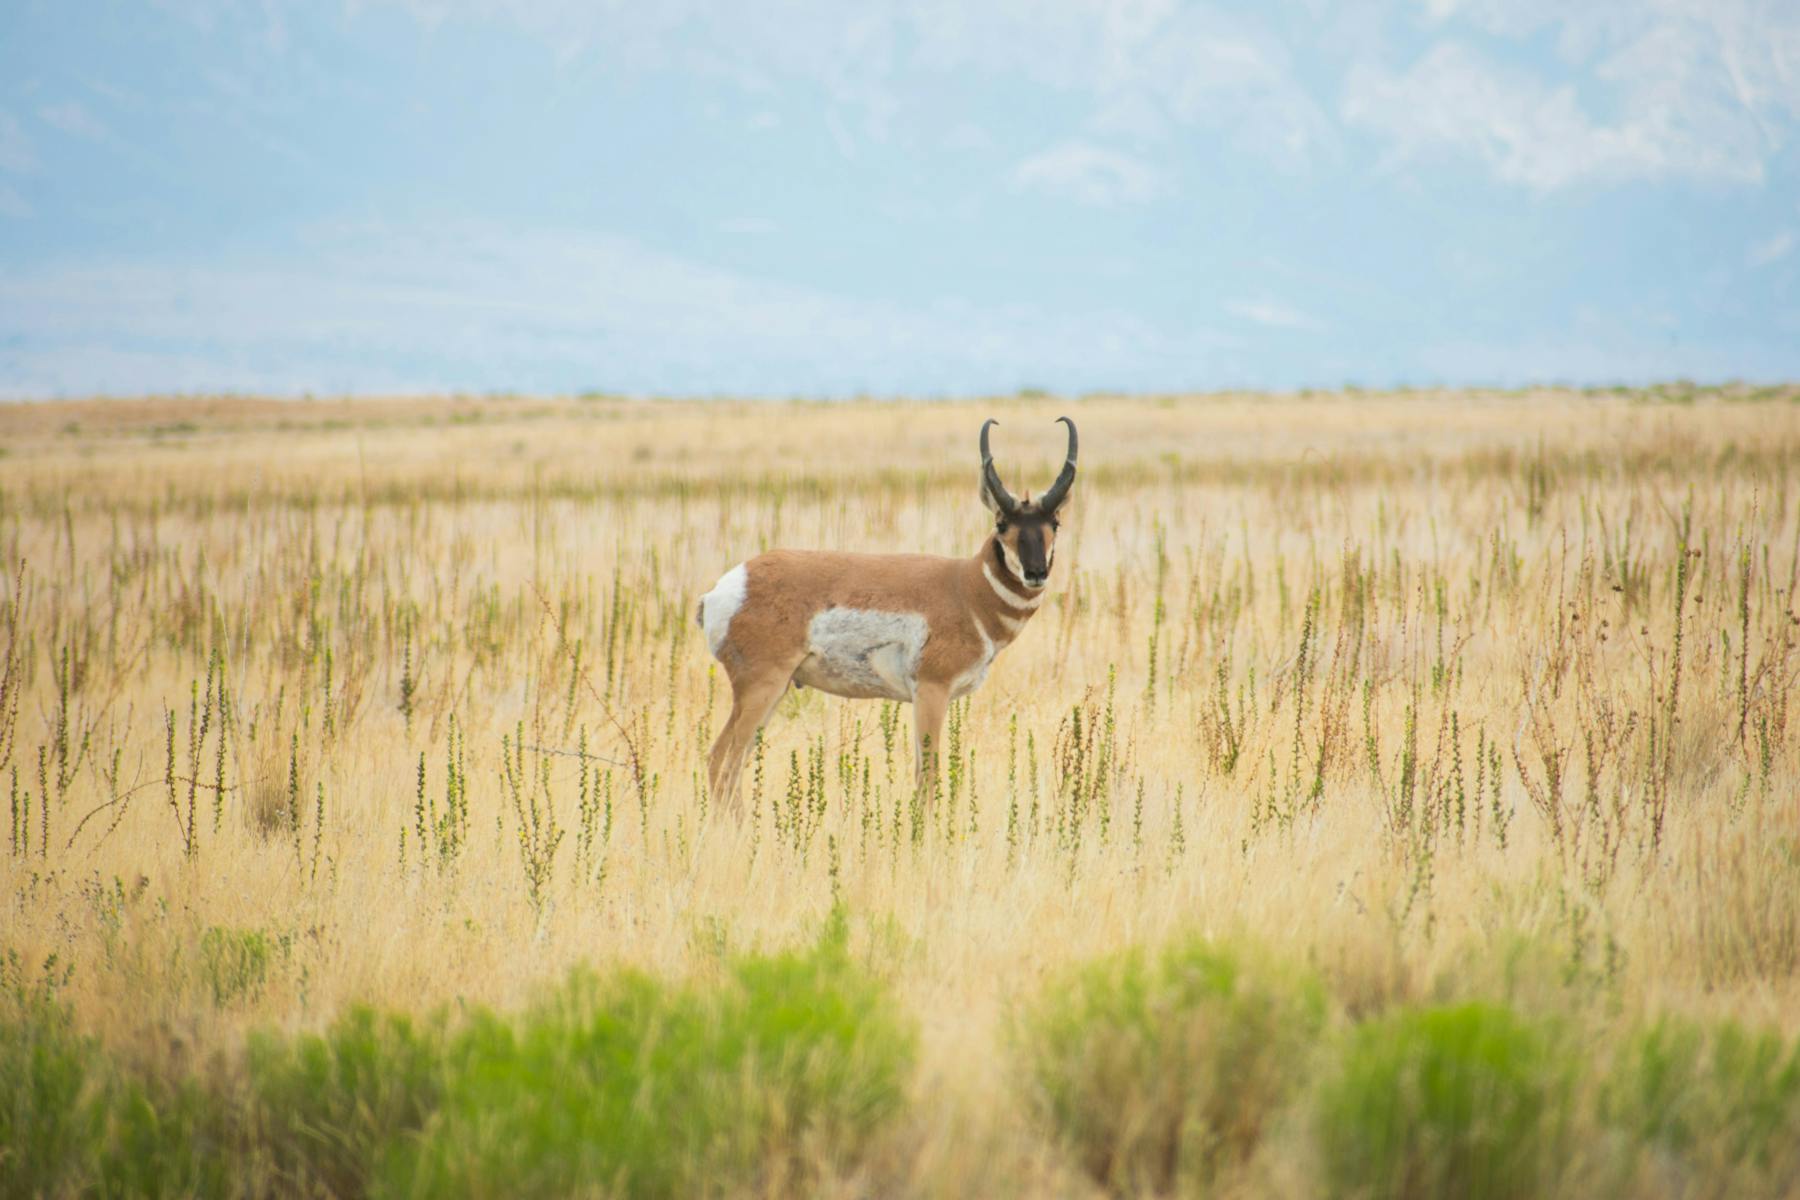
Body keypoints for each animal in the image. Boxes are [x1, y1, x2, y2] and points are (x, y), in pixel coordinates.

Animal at [696, 417, 1078, 807]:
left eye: (1055, 523)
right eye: (1002, 523)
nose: (1035, 572)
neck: (967, 588)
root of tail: (726, 587)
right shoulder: (931, 691)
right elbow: (928, 779)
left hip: (777, 690)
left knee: (732, 764)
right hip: (762, 686)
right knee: (721, 760)